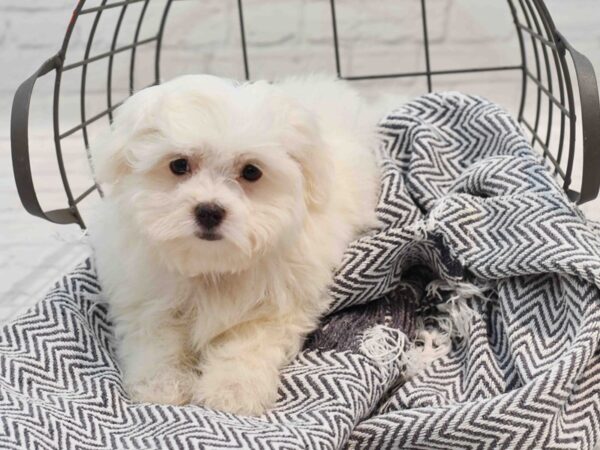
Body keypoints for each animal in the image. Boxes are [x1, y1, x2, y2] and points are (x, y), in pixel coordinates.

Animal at [89, 74, 380, 414]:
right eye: (179, 165)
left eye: (251, 172)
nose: (209, 210)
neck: (212, 265)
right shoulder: (146, 298)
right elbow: (156, 339)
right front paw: (161, 385)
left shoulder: (276, 306)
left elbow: (247, 343)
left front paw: (232, 391)